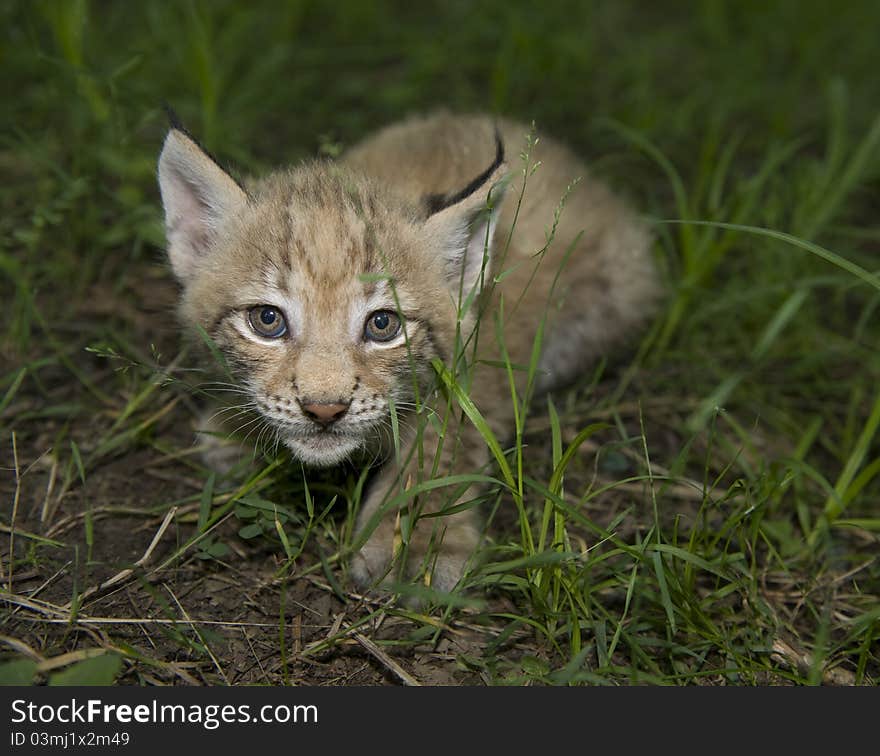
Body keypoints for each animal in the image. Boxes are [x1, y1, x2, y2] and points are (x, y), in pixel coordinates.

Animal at [158, 112, 656, 596]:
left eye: (383, 325)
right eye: (267, 320)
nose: (324, 410)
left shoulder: (474, 375)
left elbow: (439, 449)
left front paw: (416, 541)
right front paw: (233, 428)